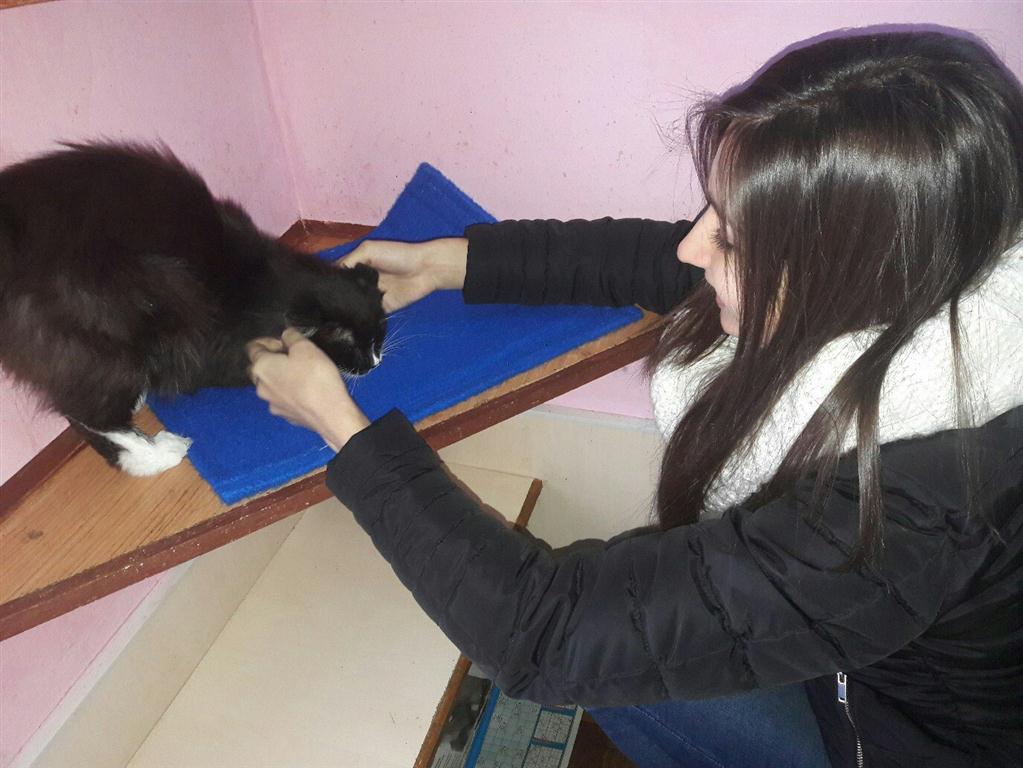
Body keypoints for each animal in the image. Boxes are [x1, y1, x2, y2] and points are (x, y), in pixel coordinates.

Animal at [0, 142, 386, 476]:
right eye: (353, 346)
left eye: (378, 337)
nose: (375, 363)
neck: (265, 287)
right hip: (114, 321)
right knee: (87, 413)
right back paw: (157, 453)